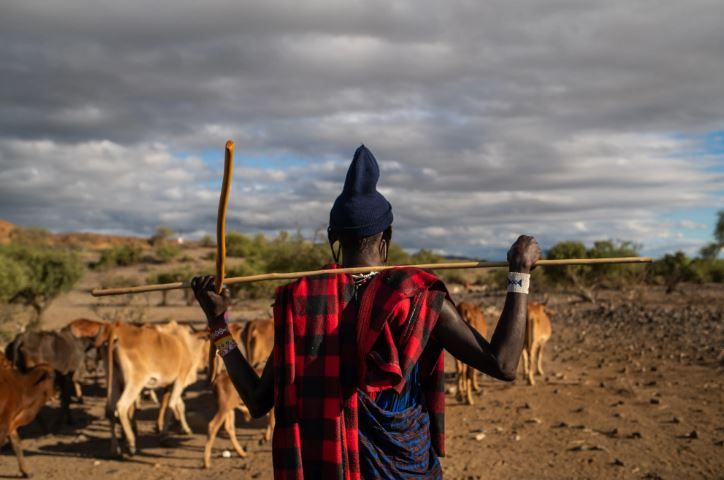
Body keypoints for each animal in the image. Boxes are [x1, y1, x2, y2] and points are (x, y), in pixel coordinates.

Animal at [0, 350, 55, 478]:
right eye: (53, 377)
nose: (56, 393)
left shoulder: (10, 424)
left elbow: (17, 445)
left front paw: (25, 471)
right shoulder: (3, 424)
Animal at [204, 318, 274, 468]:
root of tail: (218, 377)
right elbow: (271, 421)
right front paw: (267, 437)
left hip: (228, 409)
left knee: (229, 428)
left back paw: (241, 452)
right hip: (224, 408)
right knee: (213, 426)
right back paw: (206, 462)